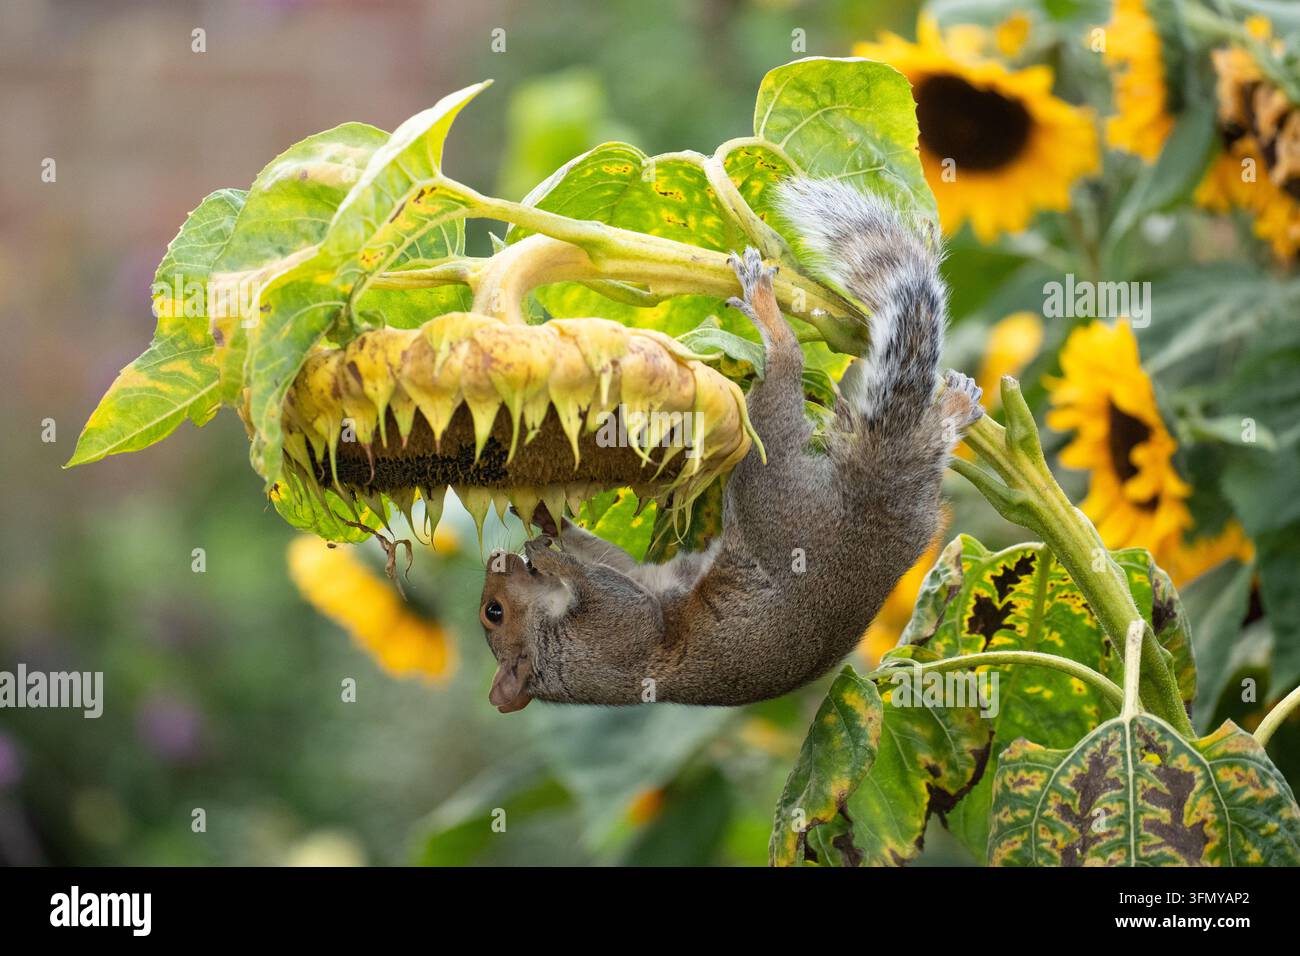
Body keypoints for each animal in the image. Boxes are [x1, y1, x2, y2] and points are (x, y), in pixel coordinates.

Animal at [479, 178, 984, 713]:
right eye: (493, 611)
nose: (499, 561)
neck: (552, 653)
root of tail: (874, 500)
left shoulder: (638, 586)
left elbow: (619, 563)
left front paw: (544, 520)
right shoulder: (609, 641)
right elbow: (625, 600)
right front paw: (551, 554)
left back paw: (954, 406)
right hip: (770, 487)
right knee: (786, 371)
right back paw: (769, 314)